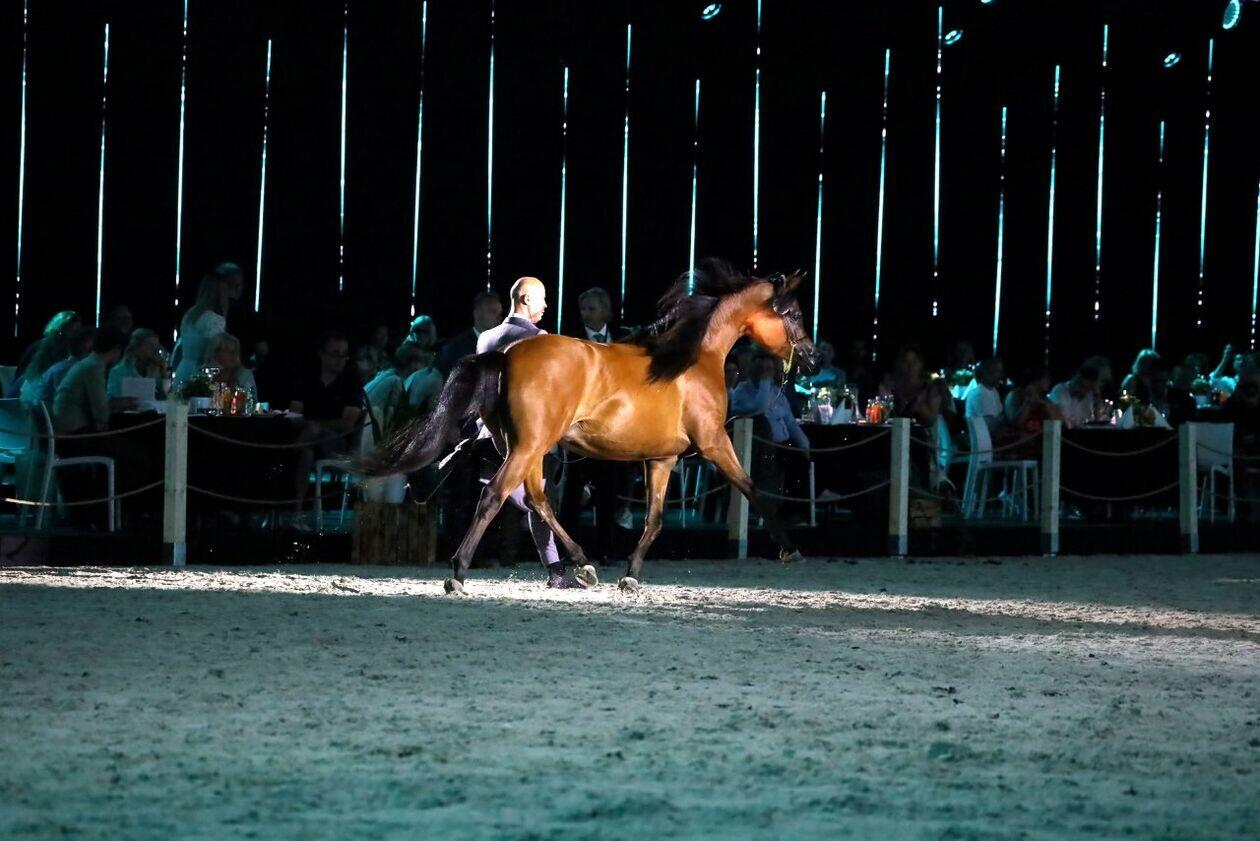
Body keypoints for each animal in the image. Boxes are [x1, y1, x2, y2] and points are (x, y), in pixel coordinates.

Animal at [360, 260, 821, 593]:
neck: (691, 359)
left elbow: (654, 519)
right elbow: (753, 488)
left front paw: (630, 575)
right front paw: (792, 550)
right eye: (796, 313)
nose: (813, 360)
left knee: (537, 501)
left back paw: (582, 565)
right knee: (495, 496)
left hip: (528, 447)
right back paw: (458, 574)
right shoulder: (714, 442)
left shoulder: (662, 458)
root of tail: (506, 355)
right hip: (528, 447)